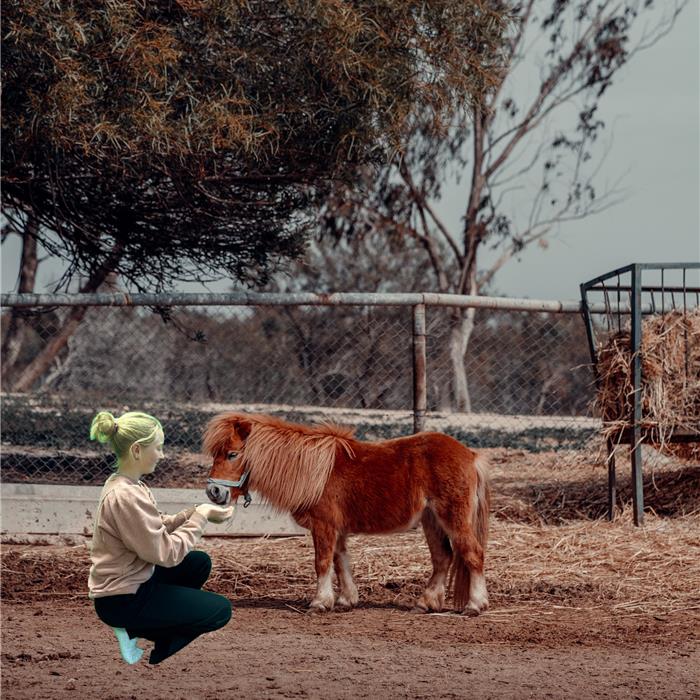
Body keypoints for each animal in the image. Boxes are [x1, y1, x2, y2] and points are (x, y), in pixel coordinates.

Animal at [201, 412, 486, 616]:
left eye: (232, 454)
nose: (214, 491)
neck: (312, 471)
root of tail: (471, 455)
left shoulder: (324, 525)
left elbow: (323, 562)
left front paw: (320, 602)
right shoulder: (337, 528)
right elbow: (340, 561)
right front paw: (346, 600)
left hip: (452, 517)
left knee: (472, 553)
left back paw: (475, 605)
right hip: (432, 521)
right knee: (442, 558)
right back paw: (425, 603)